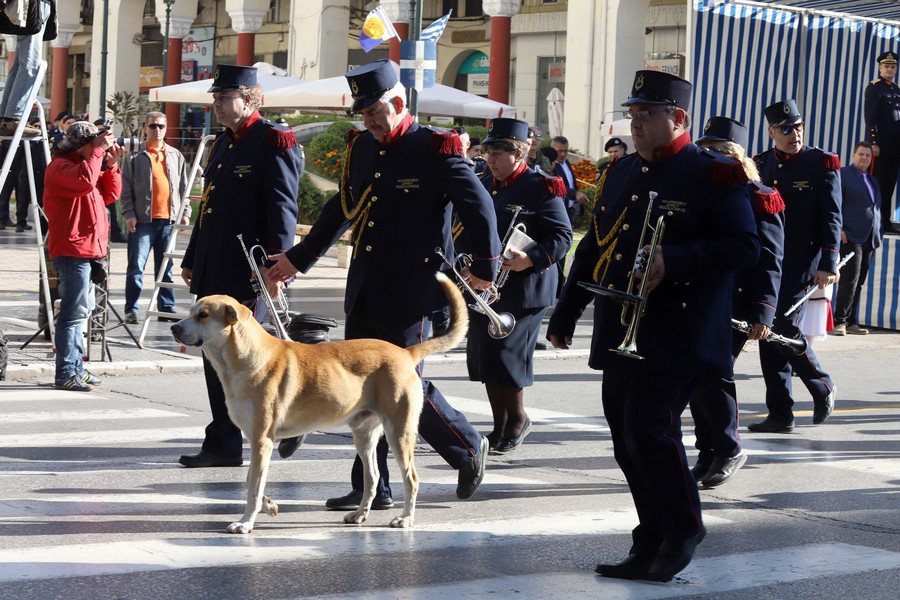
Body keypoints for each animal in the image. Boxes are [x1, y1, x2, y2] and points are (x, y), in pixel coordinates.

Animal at [170, 274, 468, 532]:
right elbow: (250, 479)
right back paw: (359, 514)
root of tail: (405, 353)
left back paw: (405, 518)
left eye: (203, 315)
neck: (242, 358)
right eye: (191, 311)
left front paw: (245, 522)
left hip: (399, 431)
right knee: (372, 478)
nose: (173, 327)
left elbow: (253, 486)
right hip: (364, 434)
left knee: (411, 479)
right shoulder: (257, 440)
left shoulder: (262, 439)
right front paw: (269, 505)